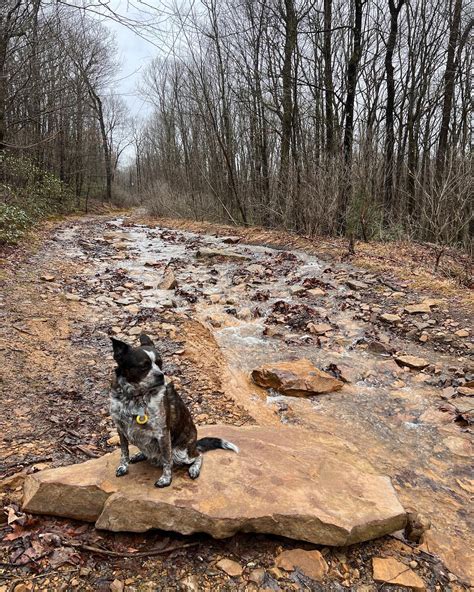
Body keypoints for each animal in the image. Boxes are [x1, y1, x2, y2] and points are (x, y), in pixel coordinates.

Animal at [109, 332, 239, 486]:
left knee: (198, 455)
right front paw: (123, 467)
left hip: (181, 453)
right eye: (143, 366)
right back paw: (140, 454)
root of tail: (194, 444)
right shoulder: (120, 428)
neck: (135, 397)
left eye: (160, 363)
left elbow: (167, 459)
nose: (161, 375)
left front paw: (166, 479)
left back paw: (194, 469)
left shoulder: (162, 433)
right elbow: (124, 452)